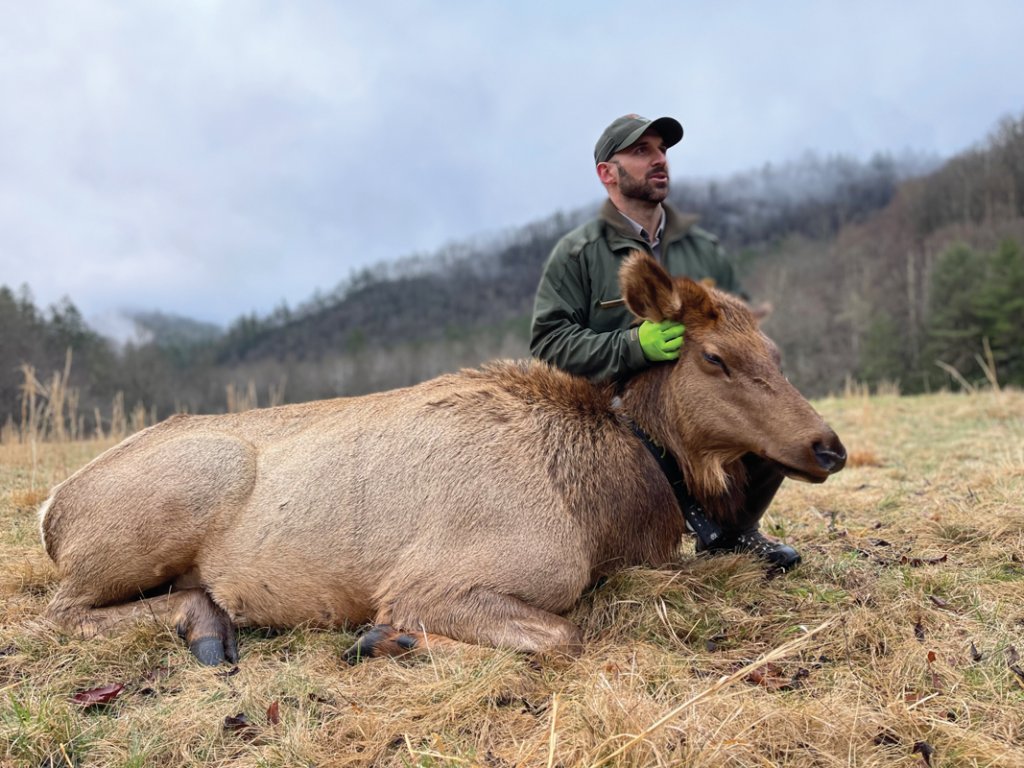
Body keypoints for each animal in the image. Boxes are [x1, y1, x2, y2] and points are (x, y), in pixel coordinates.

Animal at [36, 253, 843, 667]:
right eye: (715, 357)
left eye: (775, 353)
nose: (827, 445)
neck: (607, 516)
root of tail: (51, 510)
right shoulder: (436, 578)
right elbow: (562, 636)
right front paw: (383, 636)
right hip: (155, 516)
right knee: (57, 612)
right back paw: (204, 627)